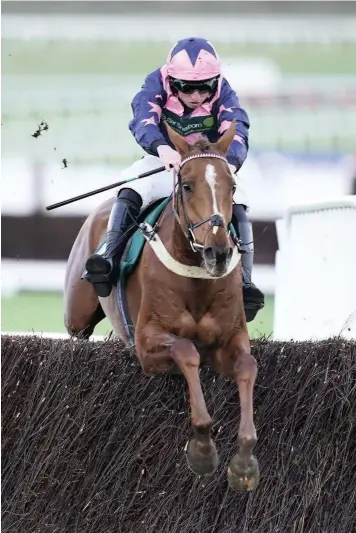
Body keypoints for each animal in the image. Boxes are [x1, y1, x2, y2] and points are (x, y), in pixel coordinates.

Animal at [64, 121, 258, 490]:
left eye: (232, 186)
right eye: (187, 185)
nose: (218, 252)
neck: (196, 276)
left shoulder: (230, 338)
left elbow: (247, 367)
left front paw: (244, 461)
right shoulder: (146, 344)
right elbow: (186, 350)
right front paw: (202, 450)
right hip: (76, 314)